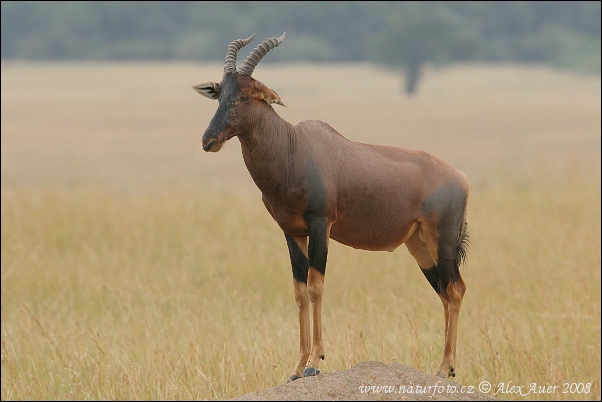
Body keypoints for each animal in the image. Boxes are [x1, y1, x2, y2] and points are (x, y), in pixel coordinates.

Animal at [192, 33, 468, 380]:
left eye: (245, 95)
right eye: (219, 94)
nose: (208, 140)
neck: (294, 146)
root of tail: (461, 178)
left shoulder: (320, 224)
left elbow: (315, 286)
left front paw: (314, 362)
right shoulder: (291, 231)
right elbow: (299, 292)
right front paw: (297, 367)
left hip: (441, 241)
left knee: (455, 291)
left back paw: (444, 368)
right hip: (419, 246)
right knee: (445, 291)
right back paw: (447, 368)